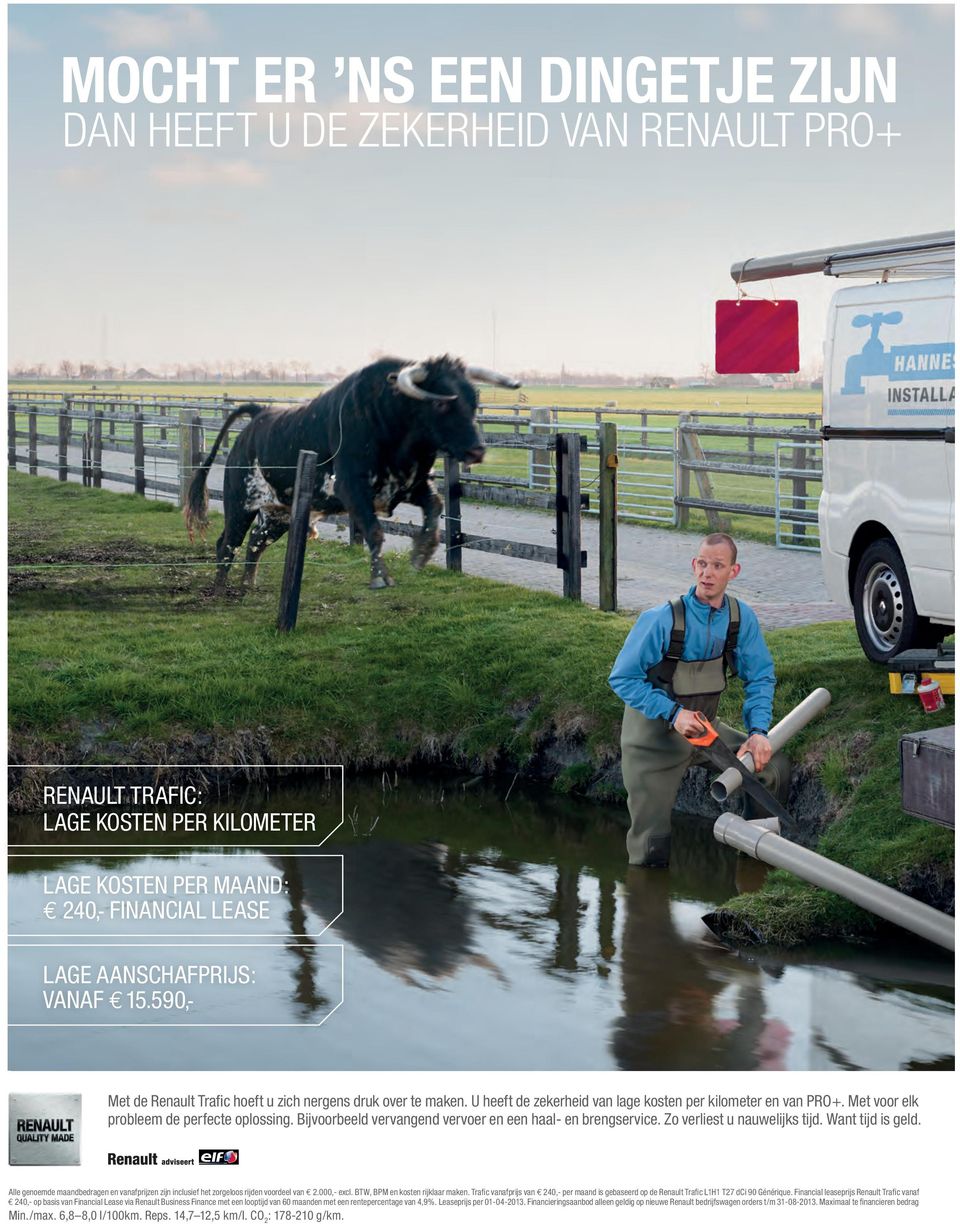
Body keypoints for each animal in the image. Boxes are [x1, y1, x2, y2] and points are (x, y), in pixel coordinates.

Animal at [184, 357, 521, 589]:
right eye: (442, 404)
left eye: (474, 400)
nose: (477, 450)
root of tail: (258, 415)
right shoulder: (353, 490)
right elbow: (375, 531)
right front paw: (380, 578)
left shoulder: (410, 486)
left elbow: (435, 506)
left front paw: (422, 552)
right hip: (240, 503)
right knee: (227, 544)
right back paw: (220, 591)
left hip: (276, 513)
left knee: (256, 542)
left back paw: (247, 586)